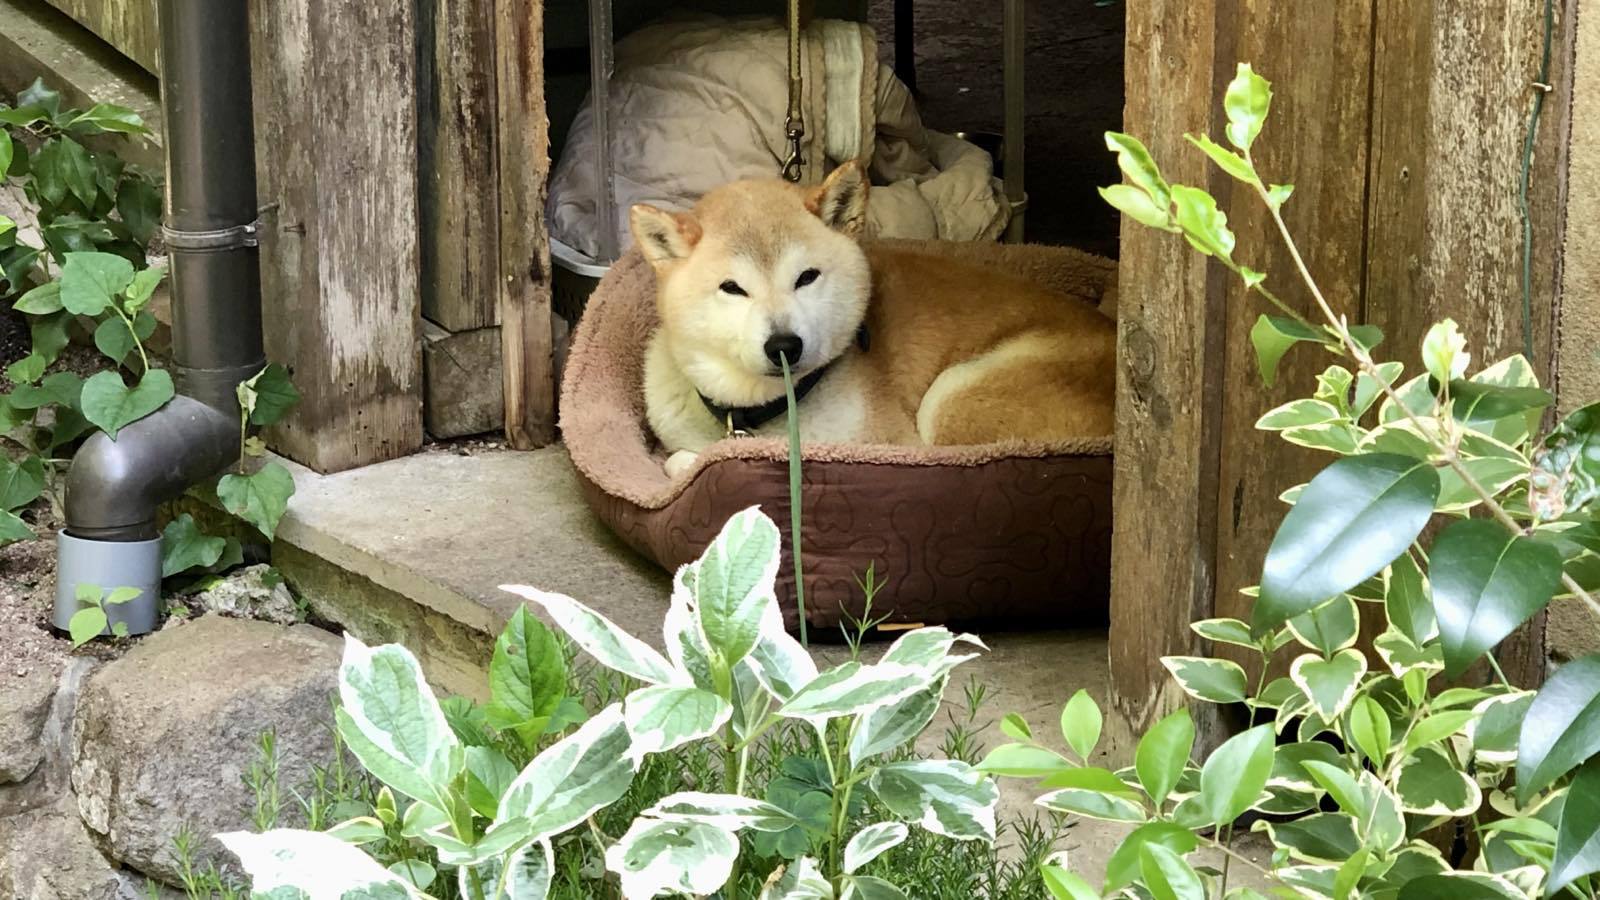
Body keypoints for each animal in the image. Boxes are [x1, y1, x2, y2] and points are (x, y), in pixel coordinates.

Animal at [624, 160, 1113, 477]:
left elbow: (681, 463)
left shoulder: (895, 444)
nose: (784, 345)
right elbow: (678, 456)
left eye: (806, 277)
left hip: (954, 394)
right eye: (732, 288)